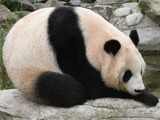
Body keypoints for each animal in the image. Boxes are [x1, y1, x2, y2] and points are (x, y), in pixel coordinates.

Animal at [2, 6, 159, 107]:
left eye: (141, 71)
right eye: (127, 74)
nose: (139, 89)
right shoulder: (67, 44)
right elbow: (93, 87)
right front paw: (149, 97)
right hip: (29, 75)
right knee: (62, 87)